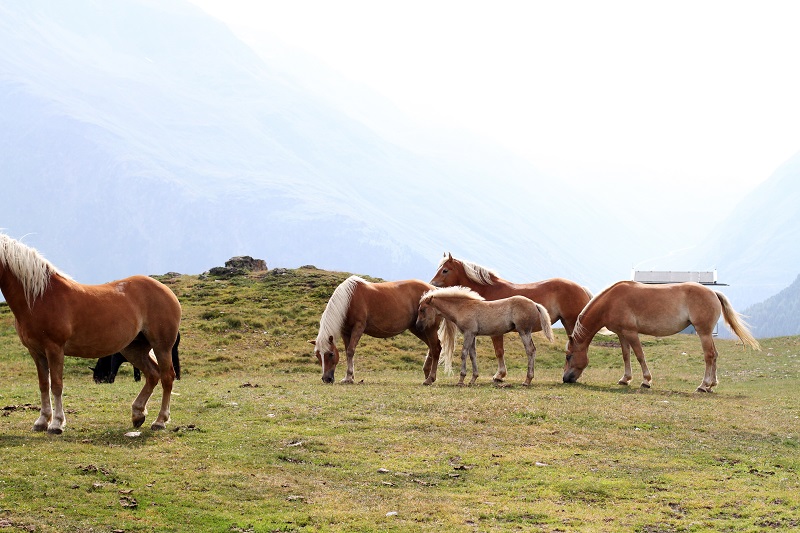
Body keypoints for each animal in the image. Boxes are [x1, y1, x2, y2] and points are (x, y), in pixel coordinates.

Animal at [0, 234, 182, 432]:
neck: (38, 297)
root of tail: (167, 291)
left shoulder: (54, 349)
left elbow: (56, 385)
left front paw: (56, 423)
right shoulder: (36, 351)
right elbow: (43, 385)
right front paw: (42, 421)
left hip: (161, 346)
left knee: (167, 377)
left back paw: (160, 420)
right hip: (134, 349)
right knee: (153, 374)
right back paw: (138, 414)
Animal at [310, 276, 454, 384]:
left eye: (331, 354)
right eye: (317, 355)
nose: (326, 379)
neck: (349, 299)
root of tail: (434, 290)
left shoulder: (358, 328)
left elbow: (350, 351)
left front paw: (349, 377)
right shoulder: (346, 332)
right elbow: (347, 352)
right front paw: (348, 377)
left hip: (429, 329)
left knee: (436, 349)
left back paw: (430, 378)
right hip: (418, 329)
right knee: (432, 347)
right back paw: (427, 374)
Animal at [416, 286, 552, 386]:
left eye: (422, 309)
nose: (418, 325)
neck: (461, 307)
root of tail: (534, 303)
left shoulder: (468, 333)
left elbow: (464, 353)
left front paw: (461, 380)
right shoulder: (473, 335)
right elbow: (472, 355)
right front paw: (472, 379)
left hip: (524, 331)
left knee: (530, 350)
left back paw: (527, 380)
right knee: (532, 350)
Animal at [432, 251, 592, 380]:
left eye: (445, 270)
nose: (432, 284)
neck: (488, 290)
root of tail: (581, 288)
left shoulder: (496, 332)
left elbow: (499, 352)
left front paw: (499, 375)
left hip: (571, 323)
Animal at [564, 278, 764, 390]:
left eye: (568, 356)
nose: (565, 379)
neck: (611, 301)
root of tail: (713, 292)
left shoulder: (631, 332)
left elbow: (640, 356)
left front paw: (646, 381)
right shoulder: (622, 334)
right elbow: (626, 356)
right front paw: (625, 379)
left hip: (704, 332)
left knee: (709, 355)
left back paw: (703, 385)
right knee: (714, 355)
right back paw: (712, 385)